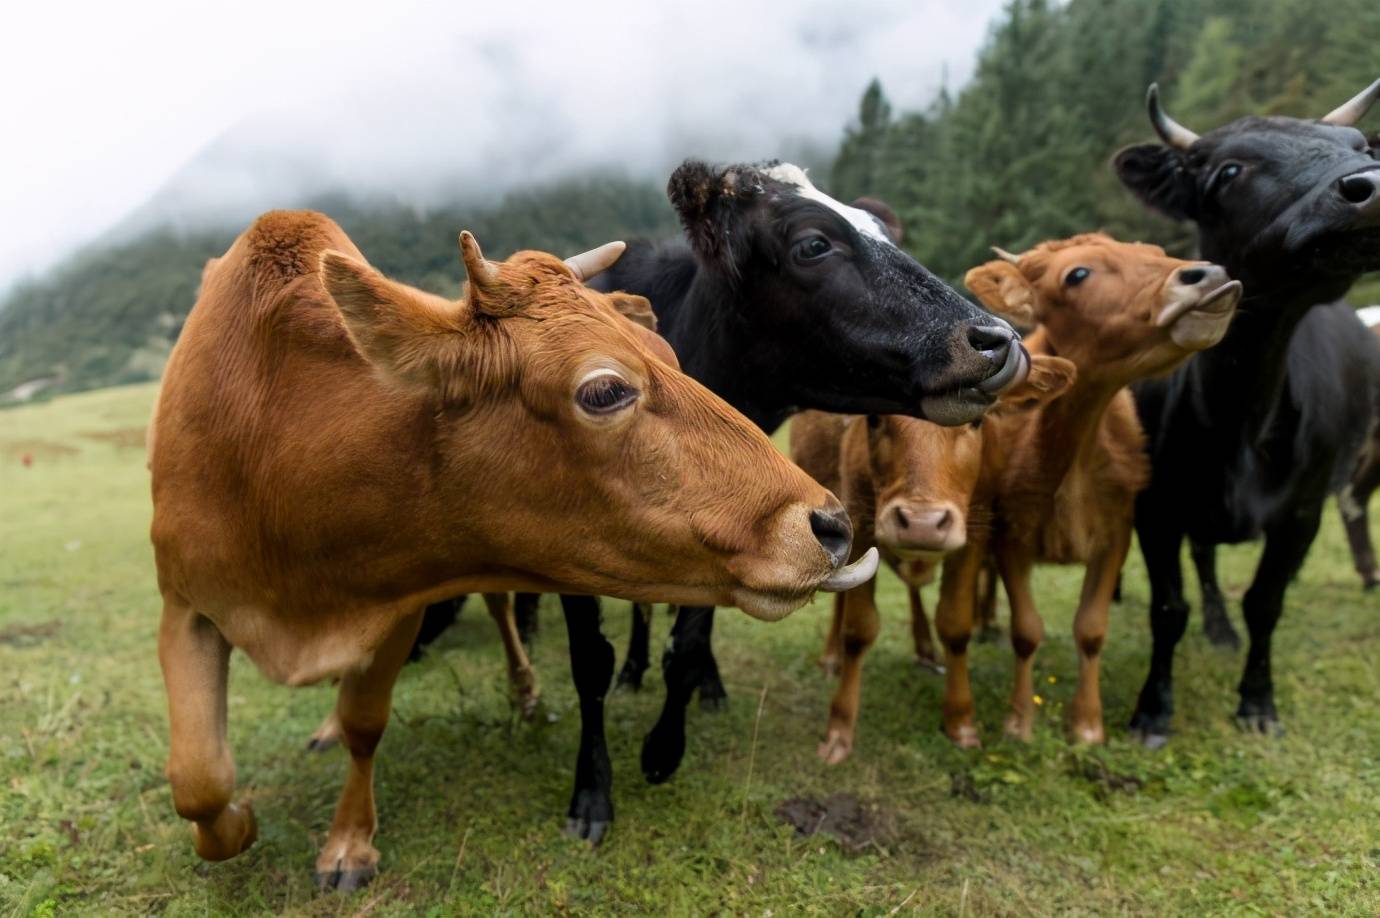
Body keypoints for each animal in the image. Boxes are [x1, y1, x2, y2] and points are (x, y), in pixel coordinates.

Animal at [148, 209, 872, 889]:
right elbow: (198, 777)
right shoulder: (184, 605)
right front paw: (246, 819)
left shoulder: (401, 605)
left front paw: (346, 844)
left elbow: (363, 723)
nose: (829, 524)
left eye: (669, 356)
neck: (274, 452)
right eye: (605, 390)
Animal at [800, 353, 1076, 762]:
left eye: (976, 420)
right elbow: (859, 629)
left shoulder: (974, 532)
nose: (921, 524)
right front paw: (839, 729)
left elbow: (955, 625)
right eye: (874, 418)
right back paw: (832, 657)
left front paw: (961, 721)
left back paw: (925, 647)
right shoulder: (859, 523)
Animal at [938, 233, 1242, 750]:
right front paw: (1020, 721)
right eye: (1077, 274)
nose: (1206, 274)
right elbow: (1027, 630)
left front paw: (1087, 724)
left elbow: (1091, 629)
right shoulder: (1011, 536)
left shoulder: (1117, 532)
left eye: (1155, 251)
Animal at [1109, 80, 1380, 745]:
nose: (1370, 184)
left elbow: (1266, 601)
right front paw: (1153, 709)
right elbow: (1169, 607)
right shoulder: (1157, 506)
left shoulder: (1302, 512)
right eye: (1229, 171)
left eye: (1361, 145)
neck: (1238, 420)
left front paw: (1258, 702)